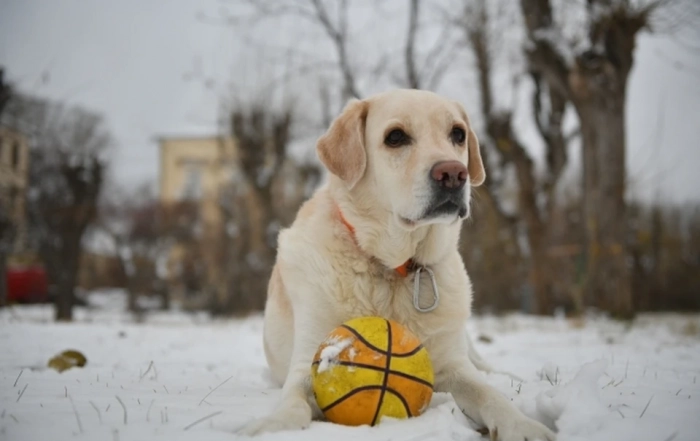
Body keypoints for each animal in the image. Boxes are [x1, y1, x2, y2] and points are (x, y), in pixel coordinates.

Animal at [241, 89, 556, 440]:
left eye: (457, 134)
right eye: (395, 137)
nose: (453, 174)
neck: (393, 268)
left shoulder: (454, 365)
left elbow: (489, 393)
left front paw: (522, 424)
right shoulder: (307, 361)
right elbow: (293, 401)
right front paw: (274, 425)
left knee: (487, 369)